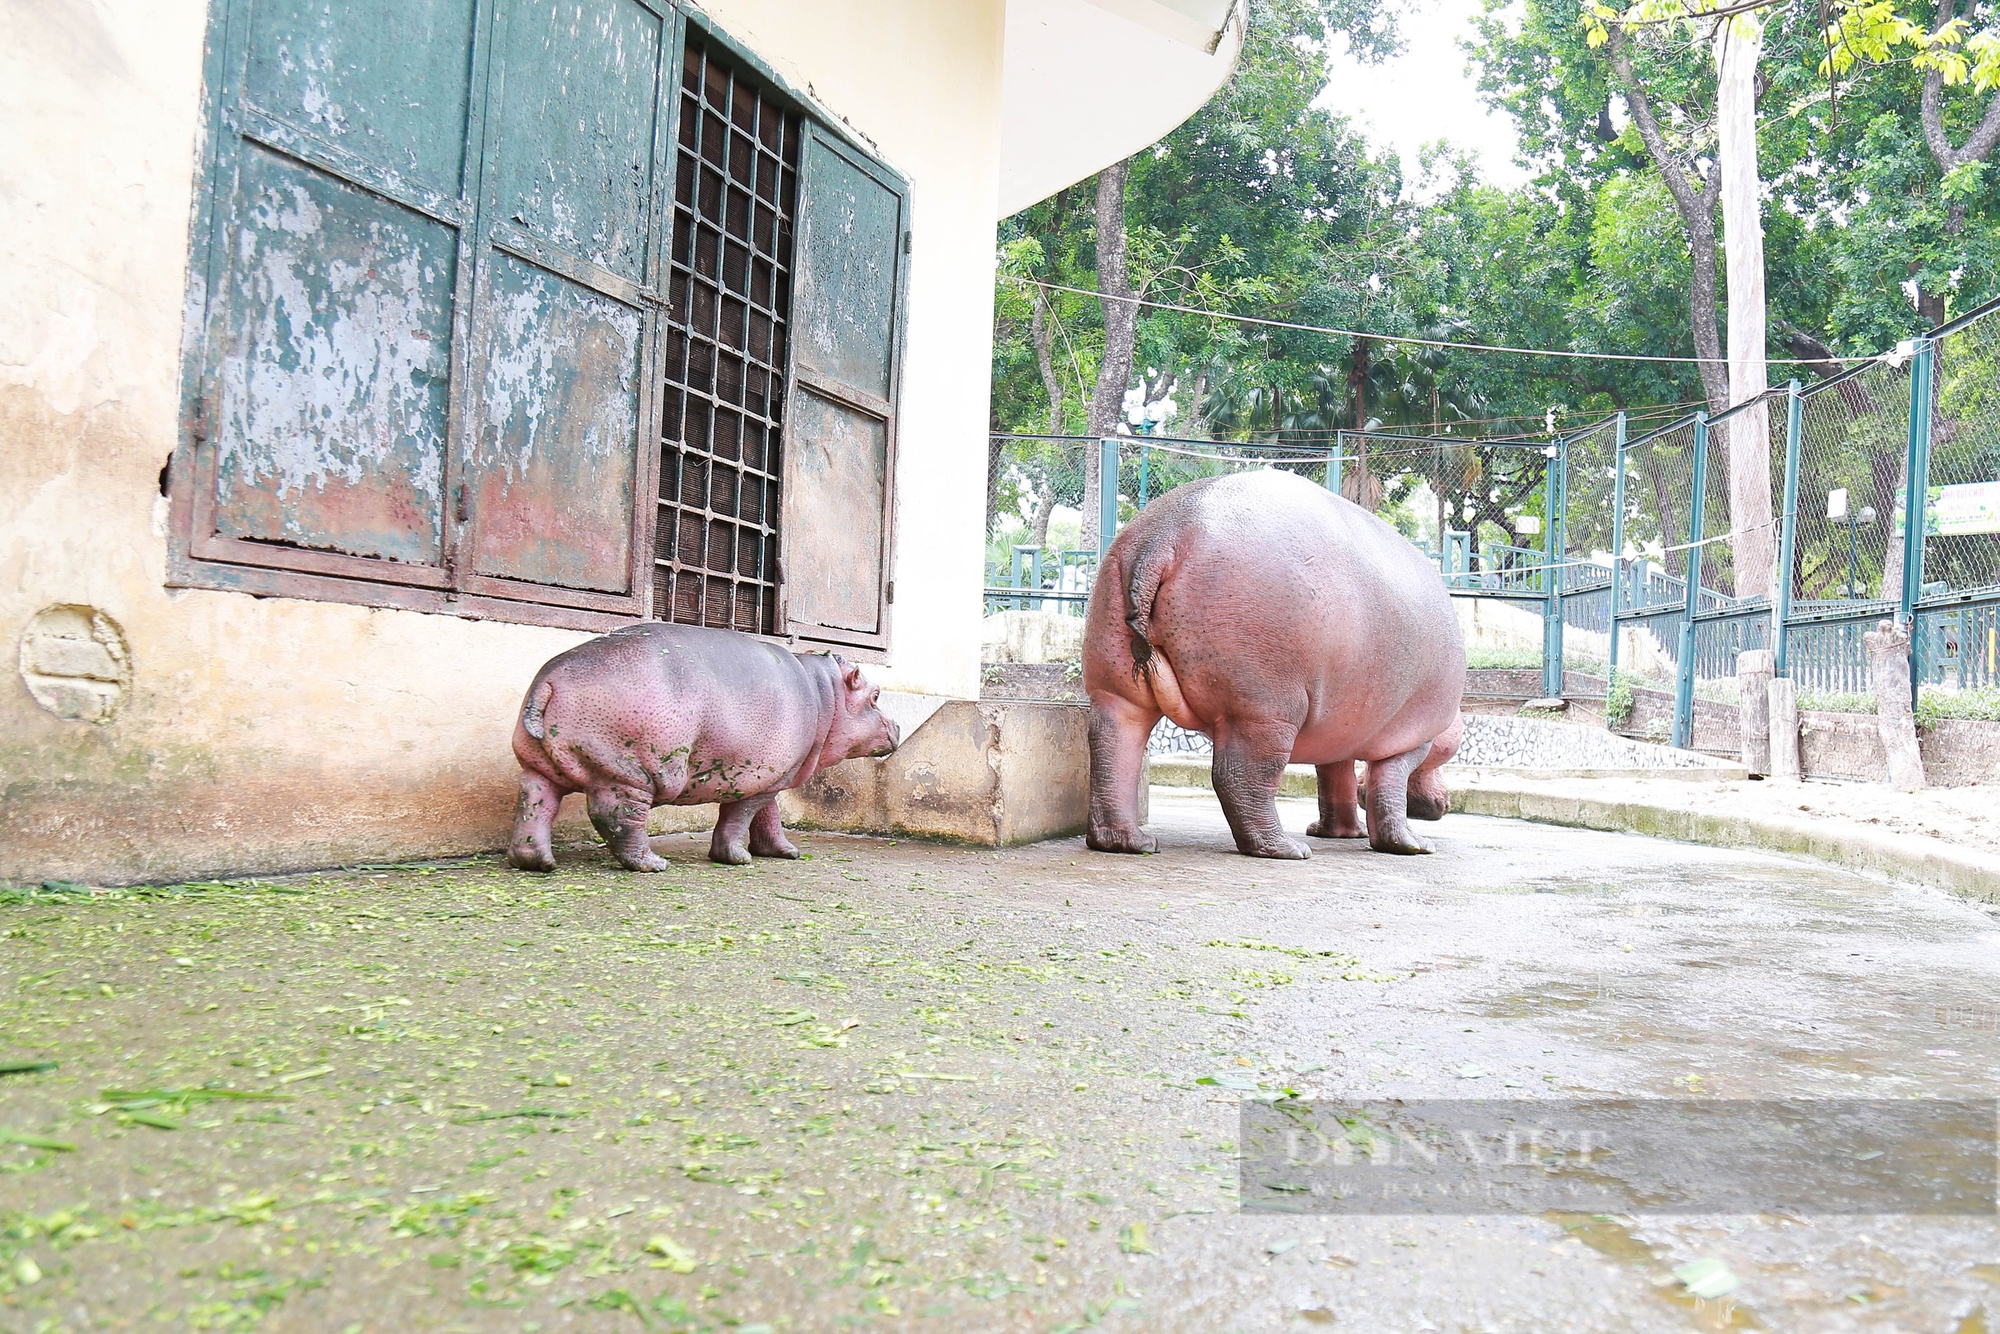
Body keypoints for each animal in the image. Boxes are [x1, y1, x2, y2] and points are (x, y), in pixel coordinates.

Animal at [504, 628, 904, 876]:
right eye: (875, 696)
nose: (899, 725)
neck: (827, 694)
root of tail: (549, 678)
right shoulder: (761, 779)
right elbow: (739, 817)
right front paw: (738, 858)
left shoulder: (771, 777)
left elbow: (769, 816)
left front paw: (786, 852)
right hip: (629, 772)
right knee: (616, 817)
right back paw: (653, 864)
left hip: (540, 766)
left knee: (535, 806)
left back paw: (537, 863)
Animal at [1088, 470, 1464, 860]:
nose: (1443, 803)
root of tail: (1166, 535)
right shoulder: (1413, 739)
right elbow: (1387, 786)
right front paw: (1413, 845)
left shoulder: (1338, 731)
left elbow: (1336, 779)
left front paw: (1342, 834)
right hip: (1267, 708)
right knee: (1239, 774)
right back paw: (1286, 848)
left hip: (1116, 686)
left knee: (1112, 748)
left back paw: (1129, 842)